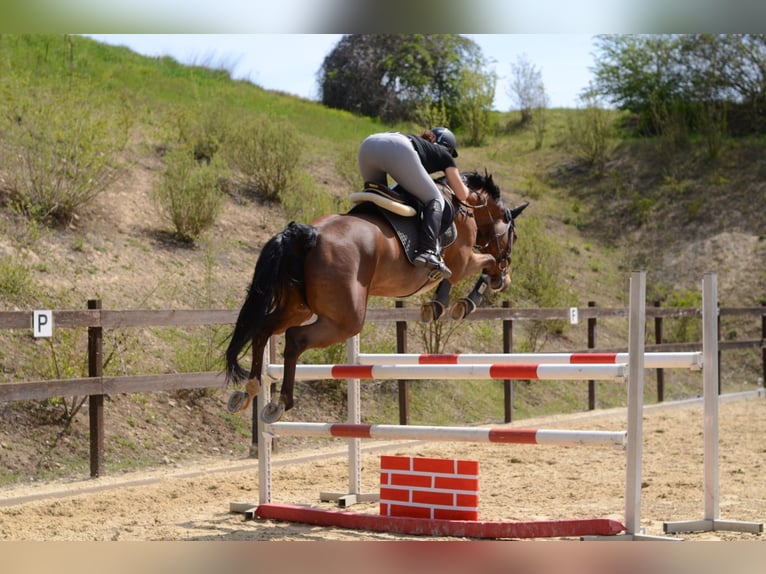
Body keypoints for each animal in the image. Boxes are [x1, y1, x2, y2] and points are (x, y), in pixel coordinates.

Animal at [225, 171, 532, 424]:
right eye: (514, 236)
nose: (504, 278)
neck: (465, 204)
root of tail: (308, 233)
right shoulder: (464, 261)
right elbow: (484, 263)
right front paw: (466, 302)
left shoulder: (458, 264)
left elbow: (454, 277)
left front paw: (438, 305)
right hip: (346, 320)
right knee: (295, 338)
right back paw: (282, 402)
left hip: (297, 307)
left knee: (262, 330)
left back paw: (249, 390)